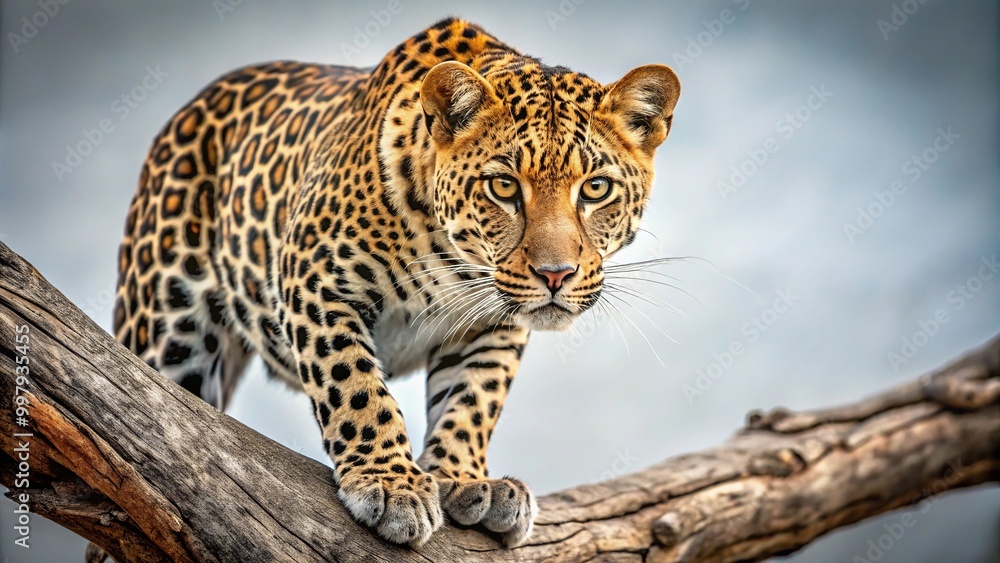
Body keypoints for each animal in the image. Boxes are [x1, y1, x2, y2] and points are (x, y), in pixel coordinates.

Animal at [112, 17, 680, 548]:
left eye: (596, 188)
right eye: (503, 186)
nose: (555, 275)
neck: (452, 261)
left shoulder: (492, 325)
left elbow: (473, 398)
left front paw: (465, 478)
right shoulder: (314, 279)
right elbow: (354, 384)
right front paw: (390, 484)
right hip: (168, 326)